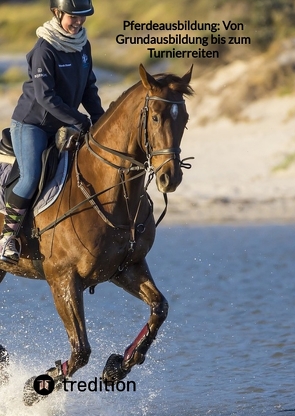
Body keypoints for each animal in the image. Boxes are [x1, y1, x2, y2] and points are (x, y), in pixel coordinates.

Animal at [0, 63, 194, 404]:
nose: (170, 178)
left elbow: (159, 308)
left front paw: (119, 366)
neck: (109, 193)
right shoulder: (62, 279)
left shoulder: (125, 268)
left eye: (183, 119)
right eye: (156, 117)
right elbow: (80, 351)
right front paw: (31, 390)